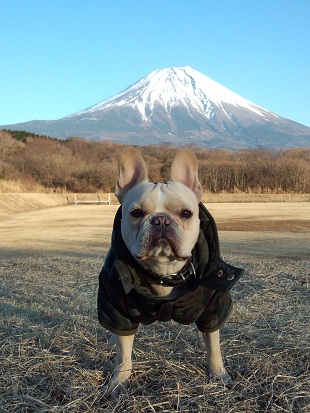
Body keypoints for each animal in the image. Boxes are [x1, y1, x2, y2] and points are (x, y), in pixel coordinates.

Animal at [98, 147, 243, 396]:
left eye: (186, 213)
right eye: (136, 213)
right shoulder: (116, 305)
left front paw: (218, 375)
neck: (164, 273)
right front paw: (118, 382)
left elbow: (214, 347)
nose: (161, 220)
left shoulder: (213, 307)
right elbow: (124, 356)